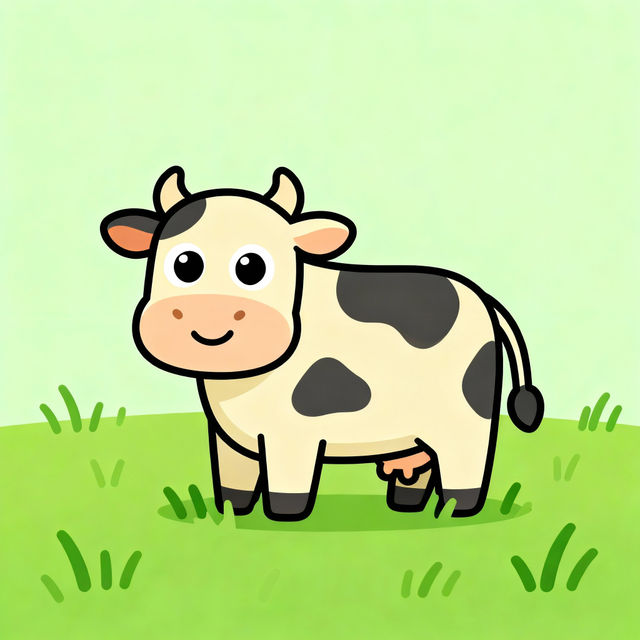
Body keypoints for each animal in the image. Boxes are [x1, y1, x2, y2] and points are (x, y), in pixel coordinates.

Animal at [101, 167, 544, 522]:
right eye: (184, 263)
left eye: (252, 267)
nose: (210, 314)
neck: (233, 386)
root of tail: (482, 298)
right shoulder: (226, 436)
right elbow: (233, 479)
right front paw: (228, 513)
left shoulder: (292, 432)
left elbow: (287, 479)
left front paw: (283, 517)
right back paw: (405, 507)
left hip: (467, 416)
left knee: (464, 464)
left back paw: (453, 511)